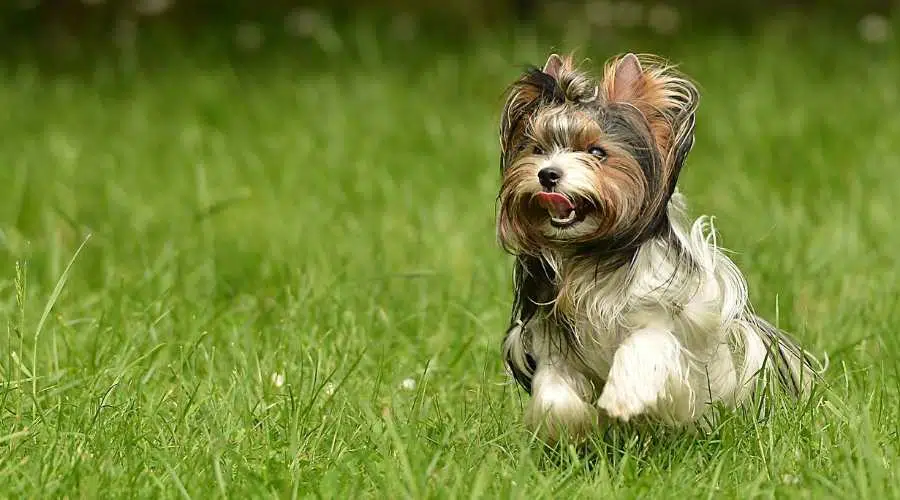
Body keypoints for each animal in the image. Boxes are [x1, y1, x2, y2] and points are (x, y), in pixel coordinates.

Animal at [496, 52, 828, 444]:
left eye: (597, 151)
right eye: (537, 149)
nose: (548, 174)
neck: (589, 255)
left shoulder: (664, 316)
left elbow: (643, 344)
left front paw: (622, 400)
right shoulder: (550, 342)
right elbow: (554, 393)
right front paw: (568, 428)